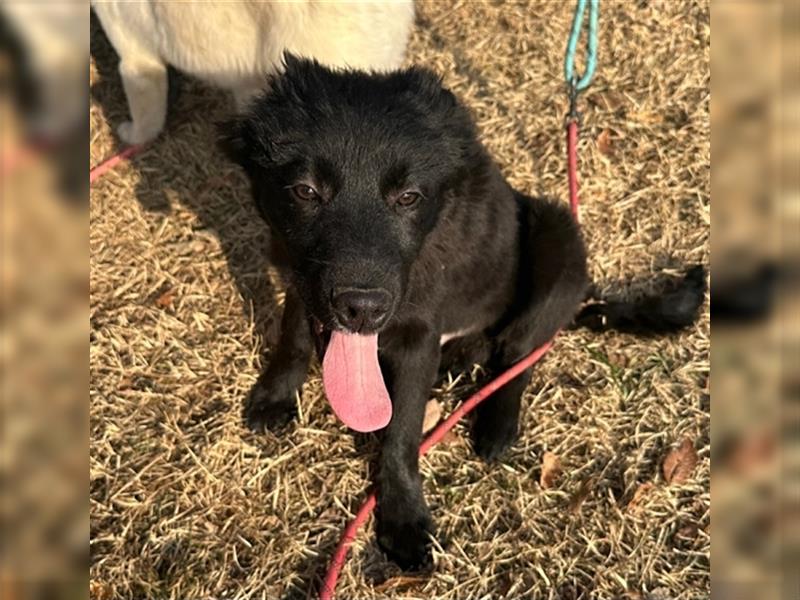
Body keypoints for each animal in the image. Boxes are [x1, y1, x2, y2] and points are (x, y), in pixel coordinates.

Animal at [222, 56, 704, 572]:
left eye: (409, 197)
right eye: (306, 191)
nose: (362, 309)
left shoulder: (418, 332)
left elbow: (402, 430)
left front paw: (403, 517)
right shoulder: (299, 277)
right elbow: (293, 337)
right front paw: (275, 396)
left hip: (559, 242)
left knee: (518, 355)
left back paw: (496, 424)